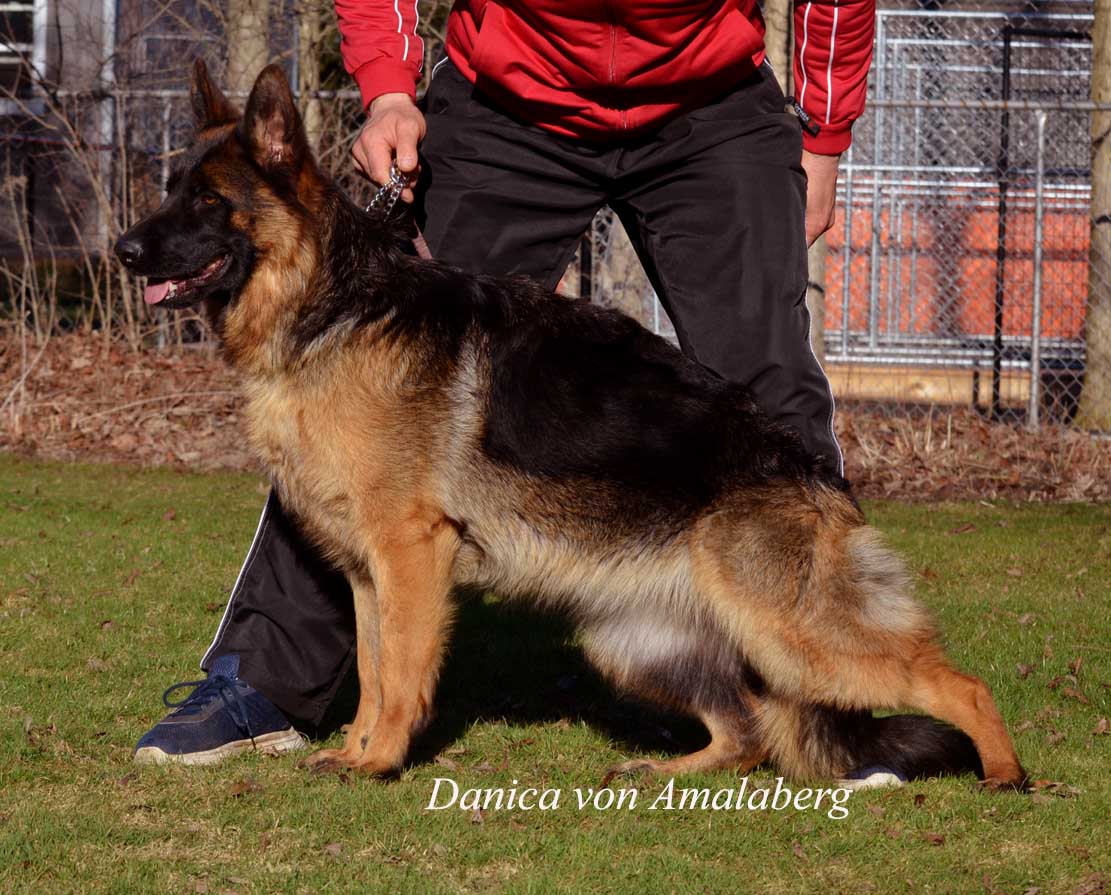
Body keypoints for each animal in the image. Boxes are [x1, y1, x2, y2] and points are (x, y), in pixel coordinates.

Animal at [114, 63, 1022, 790]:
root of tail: (817, 476)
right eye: (170, 189)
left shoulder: (410, 555)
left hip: (793, 632)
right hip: (634, 642)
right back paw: (669, 769)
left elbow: (401, 671)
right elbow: (371, 671)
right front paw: (359, 750)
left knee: (958, 684)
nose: (123, 249)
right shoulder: (367, 571)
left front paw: (381, 761)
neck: (331, 309)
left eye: (207, 201)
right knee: (746, 731)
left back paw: (1005, 774)